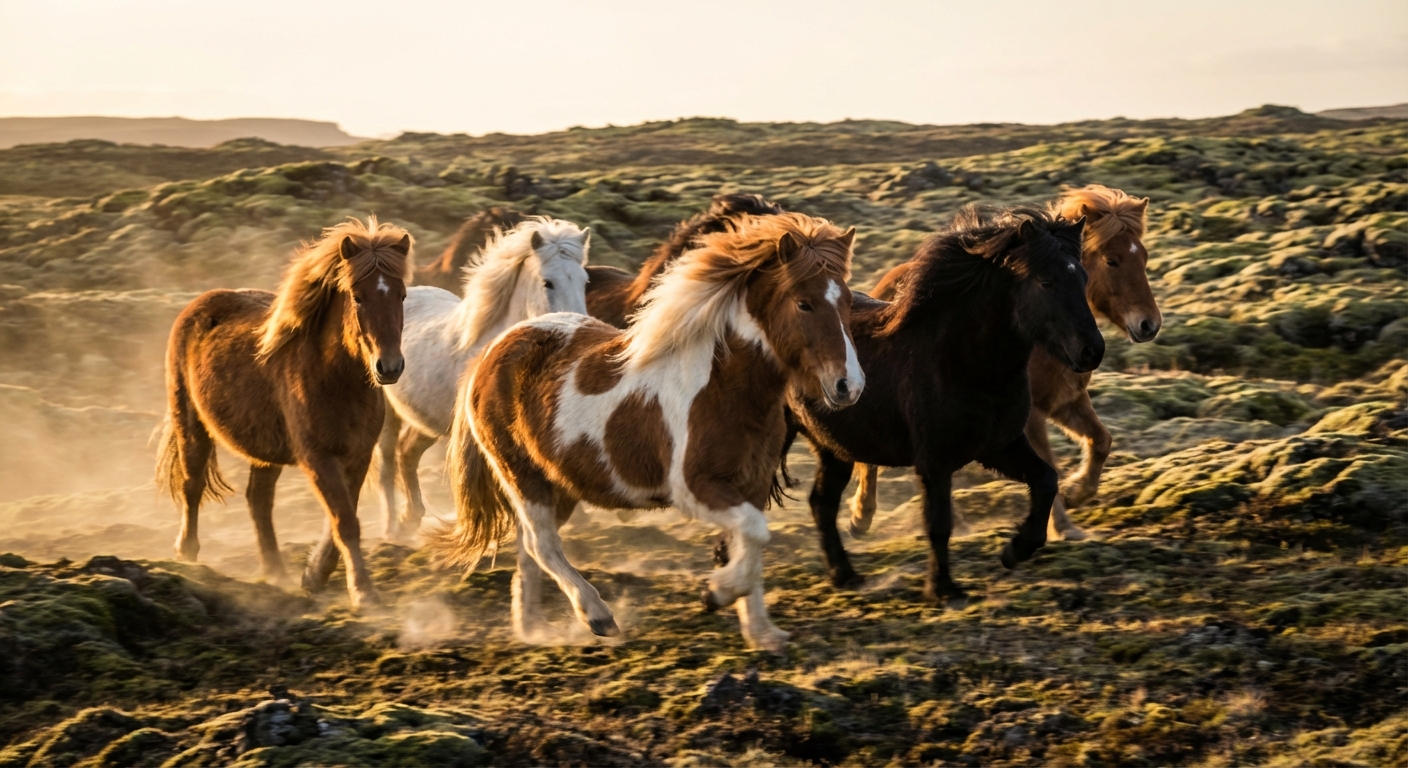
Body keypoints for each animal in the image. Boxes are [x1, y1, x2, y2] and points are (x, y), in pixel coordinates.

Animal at [156, 217, 412, 610]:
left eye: (401, 295)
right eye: (358, 296)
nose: (390, 367)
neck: (334, 378)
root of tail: (198, 305)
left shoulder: (357, 456)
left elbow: (343, 517)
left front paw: (315, 575)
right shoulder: (318, 457)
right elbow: (345, 522)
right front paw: (363, 592)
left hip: (263, 452)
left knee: (258, 501)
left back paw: (276, 571)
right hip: (191, 424)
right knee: (192, 485)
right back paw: (187, 552)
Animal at [375, 217, 591, 541]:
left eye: (584, 281)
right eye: (547, 282)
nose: (579, 327)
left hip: (427, 421)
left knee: (407, 453)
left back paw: (410, 519)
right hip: (389, 412)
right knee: (388, 460)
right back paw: (391, 528)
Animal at [433, 213, 861, 651]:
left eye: (847, 302)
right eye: (804, 303)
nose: (849, 385)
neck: (722, 385)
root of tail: (494, 349)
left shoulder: (753, 484)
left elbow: (751, 543)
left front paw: (762, 633)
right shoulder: (694, 488)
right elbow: (754, 534)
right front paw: (717, 593)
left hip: (560, 485)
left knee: (529, 548)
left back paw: (533, 629)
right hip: (523, 477)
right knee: (542, 544)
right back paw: (597, 616)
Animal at [782, 207, 1103, 606]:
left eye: (1084, 277)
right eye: (1046, 282)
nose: (1092, 351)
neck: (963, 362)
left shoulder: (1000, 445)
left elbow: (1046, 480)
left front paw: (1015, 550)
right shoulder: (934, 462)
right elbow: (939, 523)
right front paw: (943, 590)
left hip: (834, 448)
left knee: (821, 504)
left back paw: (846, 577)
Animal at [849, 186, 1158, 541]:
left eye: (1143, 257)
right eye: (1112, 260)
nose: (1149, 324)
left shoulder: (1064, 400)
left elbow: (1101, 441)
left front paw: (1077, 492)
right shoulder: (1029, 416)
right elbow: (1047, 463)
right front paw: (1063, 527)